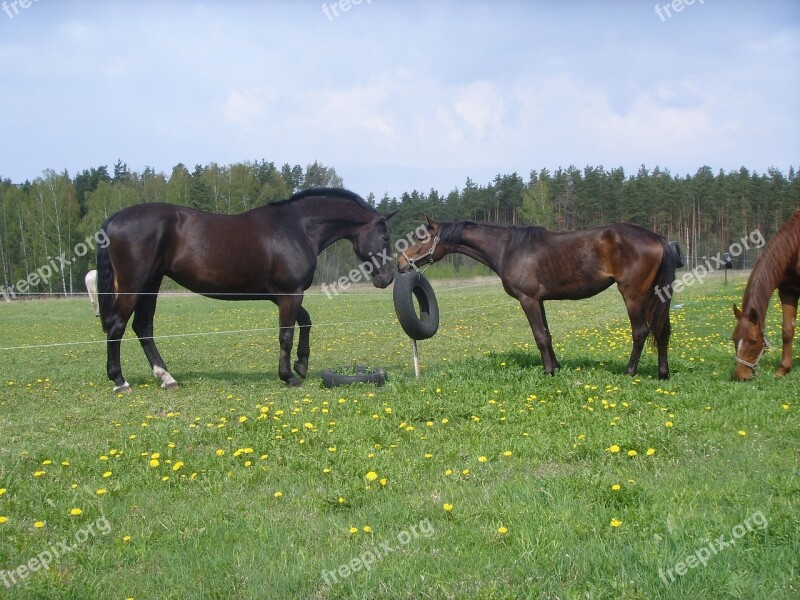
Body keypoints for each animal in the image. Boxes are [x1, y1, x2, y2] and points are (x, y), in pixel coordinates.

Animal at [95, 189, 396, 394]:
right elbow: (286, 335)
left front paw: (301, 364)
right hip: (135, 285)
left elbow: (306, 322)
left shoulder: (283, 296)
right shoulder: (290, 294)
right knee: (118, 327)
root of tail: (114, 219)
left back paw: (166, 378)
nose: (387, 277)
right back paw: (120, 381)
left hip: (151, 285)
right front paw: (288, 375)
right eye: (385, 237)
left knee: (143, 327)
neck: (297, 228)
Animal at [396, 218, 680, 378]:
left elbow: (539, 336)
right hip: (655, 295)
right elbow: (548, 334)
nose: (400, 262)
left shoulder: (528, 299)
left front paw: (548, 371)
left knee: (641, 331)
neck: (509, 248)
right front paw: (556, 367)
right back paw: (663, 373)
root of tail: (658, 238)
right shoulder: (540, 300)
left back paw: (629, 372)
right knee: (662, 331)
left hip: (633, 295)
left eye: (421, 238)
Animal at [732, 211, 800, 380]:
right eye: (734, 339)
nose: (741, 376)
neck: (796, 248)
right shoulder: (788, 291)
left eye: (753, 340)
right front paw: (784, 369)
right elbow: (787, 330)